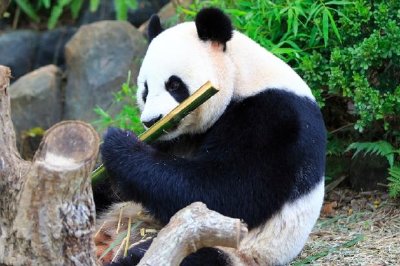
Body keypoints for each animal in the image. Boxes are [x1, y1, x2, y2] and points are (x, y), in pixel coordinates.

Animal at [98, 7, 326, 266]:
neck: (242, 74)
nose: (151, 121)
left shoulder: (274, 119)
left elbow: (224, 193)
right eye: (145, 89)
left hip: (231, 251)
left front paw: (118, 145)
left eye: (174, 85)